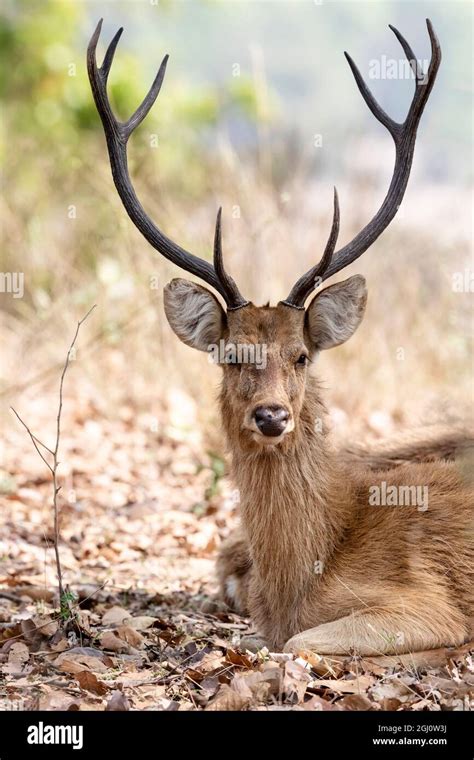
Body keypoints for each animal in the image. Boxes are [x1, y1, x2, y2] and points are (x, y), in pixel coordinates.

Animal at [87, 20, 472, 656]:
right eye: (230, 355)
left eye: (302, 355)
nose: (271, 416)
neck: (304, 577)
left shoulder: (428, 602)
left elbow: (298, 643)